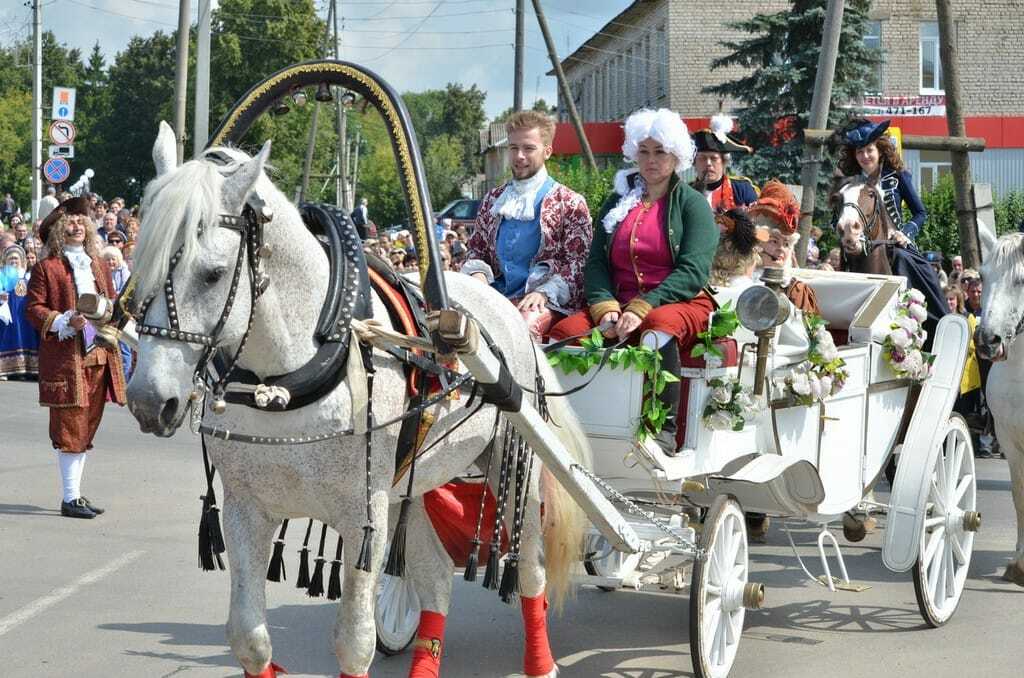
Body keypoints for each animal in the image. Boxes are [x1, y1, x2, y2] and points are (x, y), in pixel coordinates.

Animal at [126, 123, 585, 678]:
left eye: (212, 274)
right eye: (139, 262)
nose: (148, 401)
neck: (290, 375)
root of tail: (509, 308)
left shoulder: (362, 517)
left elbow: (354, 641)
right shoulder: (245, 510)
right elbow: (249, 638)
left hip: (513, 469)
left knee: (530, 571)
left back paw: (541, 662)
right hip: (414, 486)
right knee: (436, 578)